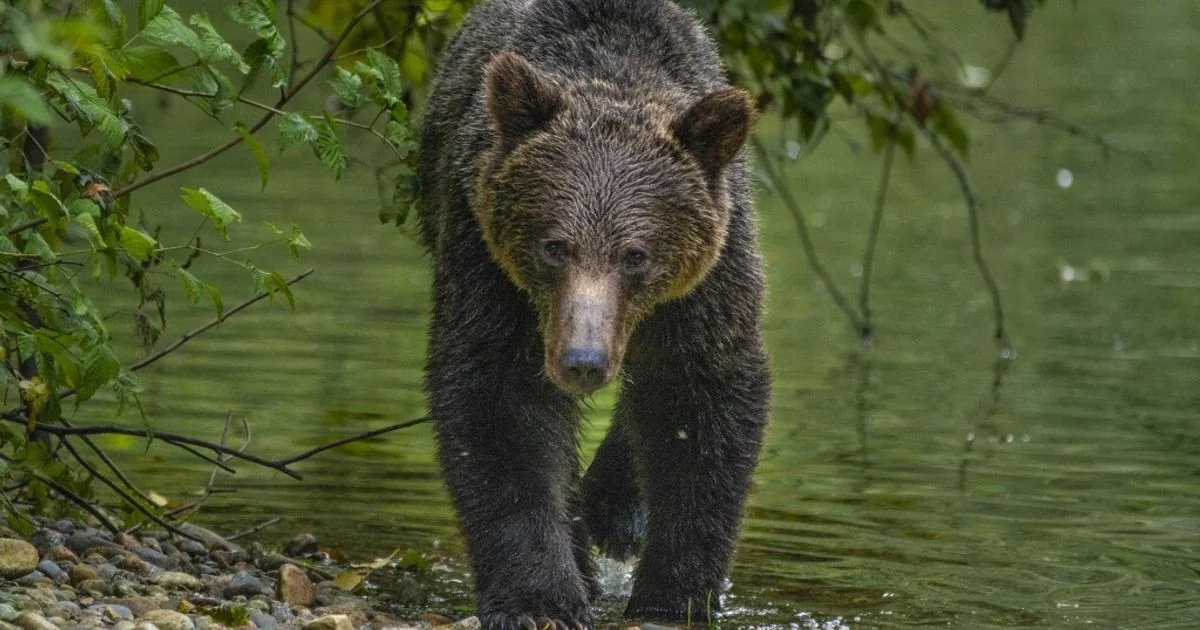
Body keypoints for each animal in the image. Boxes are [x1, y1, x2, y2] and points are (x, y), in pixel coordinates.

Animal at [416, 0, 771, 627]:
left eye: (636, 254)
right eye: (554, 245)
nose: (583, 359)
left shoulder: (709, 282)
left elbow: (701, 406)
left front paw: (673, 594)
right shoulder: (484, 260)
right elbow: (500, 406)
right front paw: (539, 597)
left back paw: (614, 511)